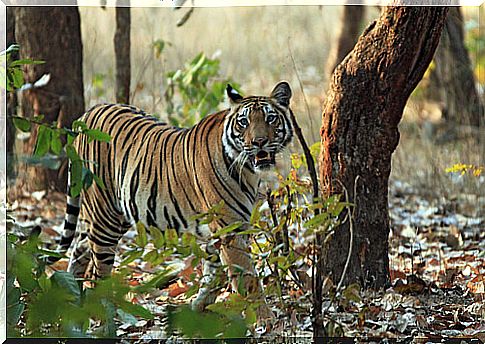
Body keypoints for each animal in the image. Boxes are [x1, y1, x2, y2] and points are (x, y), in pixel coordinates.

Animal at [53, 80, 294, 320]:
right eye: (244, 122)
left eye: (270, 118)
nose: (259, 142)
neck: (248, 171)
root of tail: (89, 112)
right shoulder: (229, 230)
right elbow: (247, 278)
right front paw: (266, 320)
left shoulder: (224, 230)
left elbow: (213, 274)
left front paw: (199, 308)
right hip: (106, 216)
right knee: (98, 269)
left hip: (113, 215)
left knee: (80, 246)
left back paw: (71, 297)